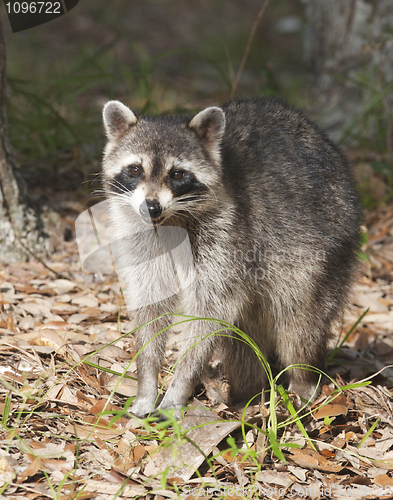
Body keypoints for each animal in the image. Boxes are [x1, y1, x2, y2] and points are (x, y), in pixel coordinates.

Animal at [101, 97, 362, 418]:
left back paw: (302, 381)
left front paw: (179, 387)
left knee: (299, 322)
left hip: (324, 252)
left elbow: (209, 311)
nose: (151, 207)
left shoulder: (230, 235)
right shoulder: (143, 238)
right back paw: (248, 393)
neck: (171, 219)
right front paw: (147, 382)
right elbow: (152, 304)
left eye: (178, 174)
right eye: (135, 169)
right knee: (243, 340)